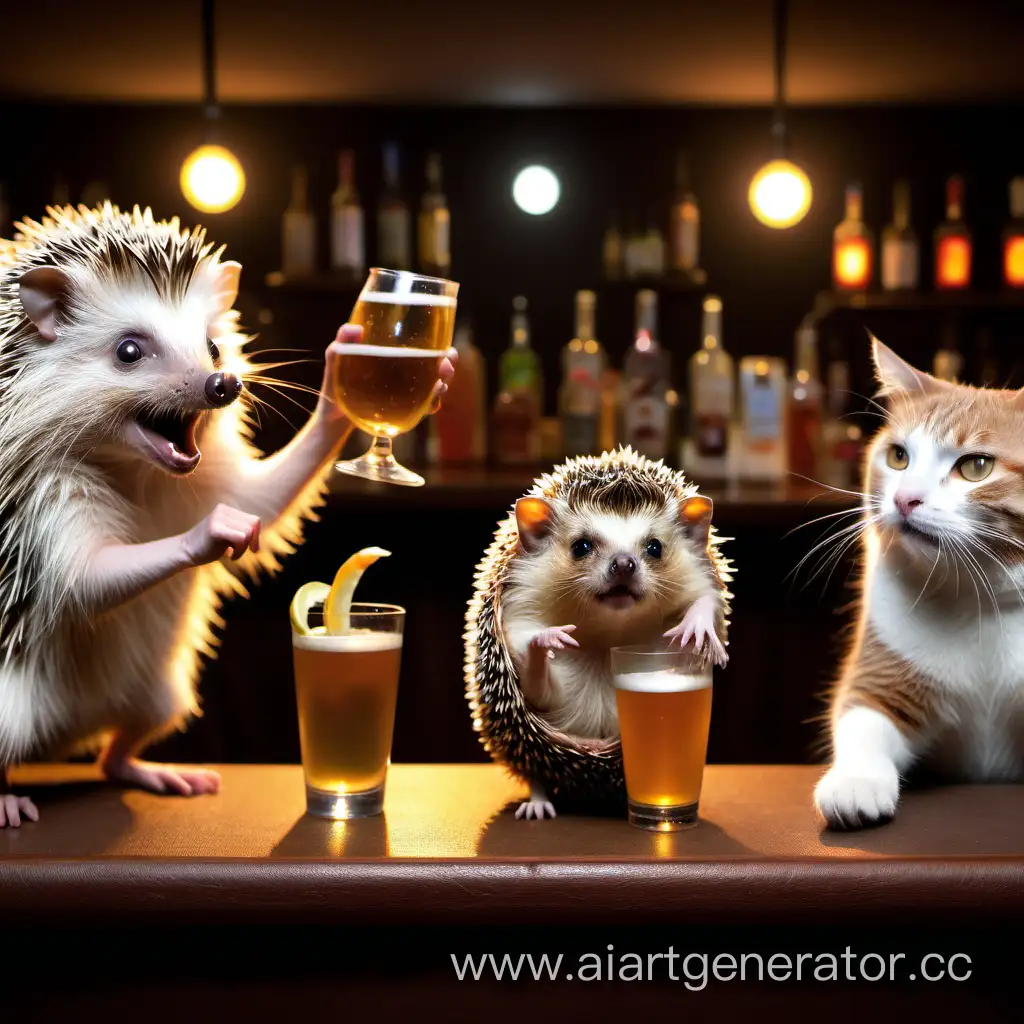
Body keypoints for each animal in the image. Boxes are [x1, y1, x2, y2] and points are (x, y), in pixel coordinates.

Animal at [819, 335, 1024, 831]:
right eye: (898, 456)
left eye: (977, 467)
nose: (904, 498)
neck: (980, 598)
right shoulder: (879, 682)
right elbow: (862, 725)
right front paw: (856, 783)